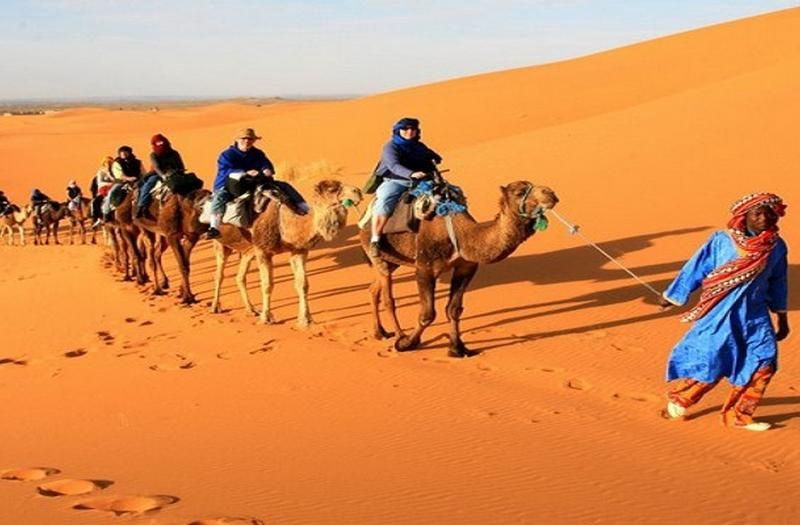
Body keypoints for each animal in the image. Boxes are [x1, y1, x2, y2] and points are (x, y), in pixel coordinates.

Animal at [210, 179, 363, 327]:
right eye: (332, 189)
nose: (358, 191)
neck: (284, 223)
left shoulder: (298, 251)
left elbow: (303, 284)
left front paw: (305, 320)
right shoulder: (263, 251)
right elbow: (267, 285)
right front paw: (266, 318)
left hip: (248, 251)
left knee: (240, 277)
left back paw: (251, 310)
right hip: (221, 243)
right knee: (219, 274)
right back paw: (215, 307)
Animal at [359, 180, 558, 358]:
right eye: (519, 192)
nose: (551, 193)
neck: (462, 234)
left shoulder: (465, 267)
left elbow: (454, 310)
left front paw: (457, 348)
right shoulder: (424, 268)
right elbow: (427, 314)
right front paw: (408, 343)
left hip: (393, 261)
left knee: (373, 289)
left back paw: (380, 332)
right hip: (377, 254)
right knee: (388, 298)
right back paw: (399, 336)